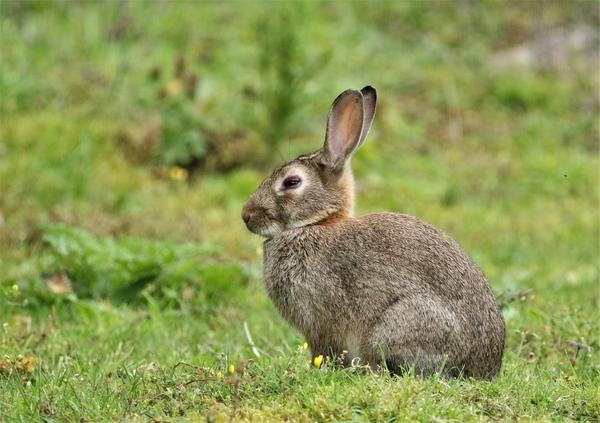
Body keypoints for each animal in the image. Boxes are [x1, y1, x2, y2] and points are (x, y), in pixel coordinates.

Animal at [241, 87, 504, 380]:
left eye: (291, 182)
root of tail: (484, 368)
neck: (315, 224)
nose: (246, 216)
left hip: (400, 325)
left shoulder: (320, 323)